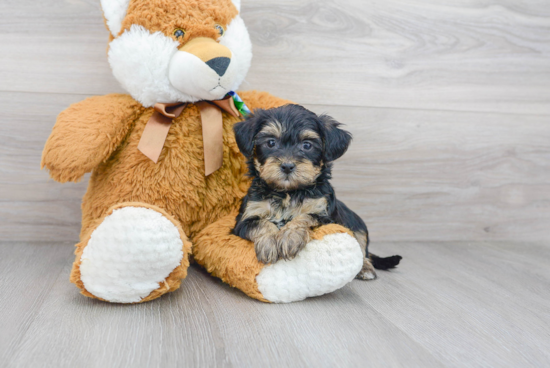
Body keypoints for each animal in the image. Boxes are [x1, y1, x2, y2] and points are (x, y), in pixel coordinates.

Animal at [231, 103, 404, 278]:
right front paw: (270, 242)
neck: (288, 192)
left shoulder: (324, 214)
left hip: (357, 225)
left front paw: (289, 237)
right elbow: (260, 223)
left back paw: (366, 267)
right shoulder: (245, 218)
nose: (287, 166)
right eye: (271, 143)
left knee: (362, 248)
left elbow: (306, 217)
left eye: (307, 145)